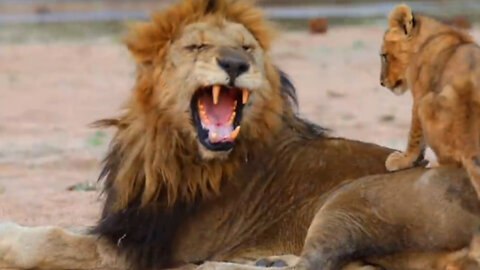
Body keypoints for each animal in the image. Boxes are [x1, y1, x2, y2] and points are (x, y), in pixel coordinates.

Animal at [382, 3, 480, 198]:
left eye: (384, 56)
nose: (381, 83)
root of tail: (471, 145)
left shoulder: (419, 95)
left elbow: (414, 135)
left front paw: (404, 160)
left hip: (426, 104)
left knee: (453, 163)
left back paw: (434, 163)